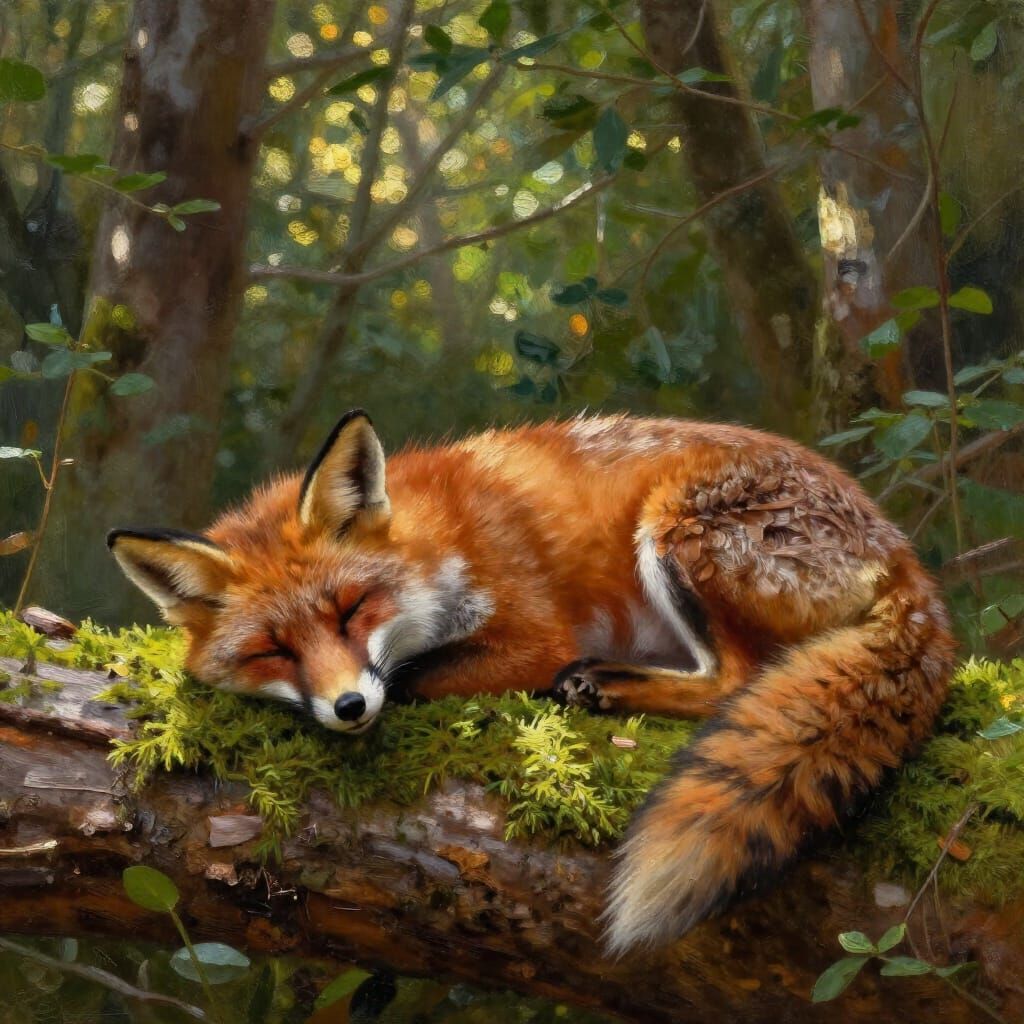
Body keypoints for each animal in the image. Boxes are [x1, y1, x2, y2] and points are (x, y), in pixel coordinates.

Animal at [108, 410, 955, 955]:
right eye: (273, 651)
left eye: (350, 610)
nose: (348, 706)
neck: (433, 543)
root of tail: (908, 562)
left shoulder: (533, 634)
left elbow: (414, 679)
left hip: (675, 526)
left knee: (735, 680)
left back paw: (606, 686)